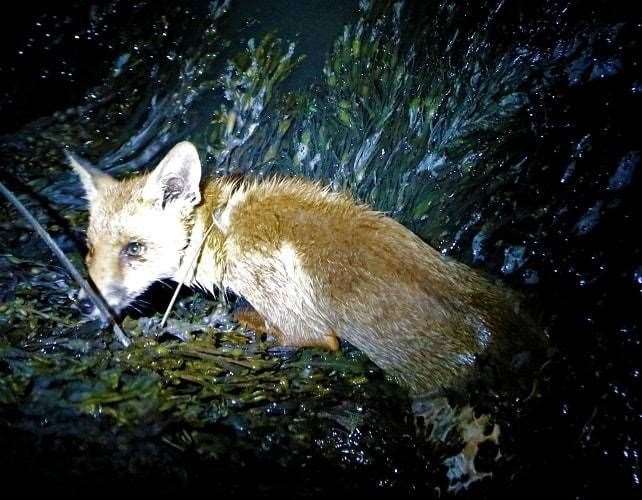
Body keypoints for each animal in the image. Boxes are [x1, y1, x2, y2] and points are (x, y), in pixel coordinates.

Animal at [71, 142, 536, 394]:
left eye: (134, 248)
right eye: (89, 249)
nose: (83, 302)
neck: (225, 227)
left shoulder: (301, 323)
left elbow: (287, 332)